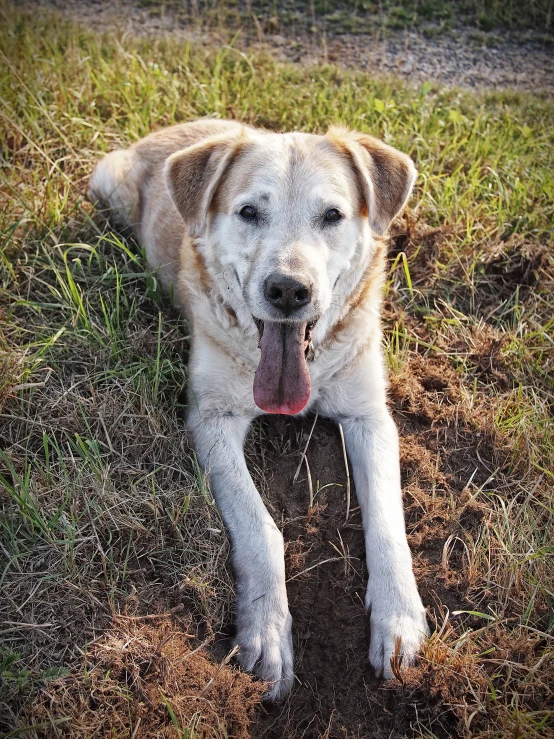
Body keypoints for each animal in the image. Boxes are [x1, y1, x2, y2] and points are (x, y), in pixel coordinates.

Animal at [88, 120, 430, 700]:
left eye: (332, 215)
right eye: (248, 212)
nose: (289, 291)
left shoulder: (370, 416)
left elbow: (387, 522)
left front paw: (399, 618)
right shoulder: (212, 420)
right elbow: (261, 528)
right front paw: (267, 634)